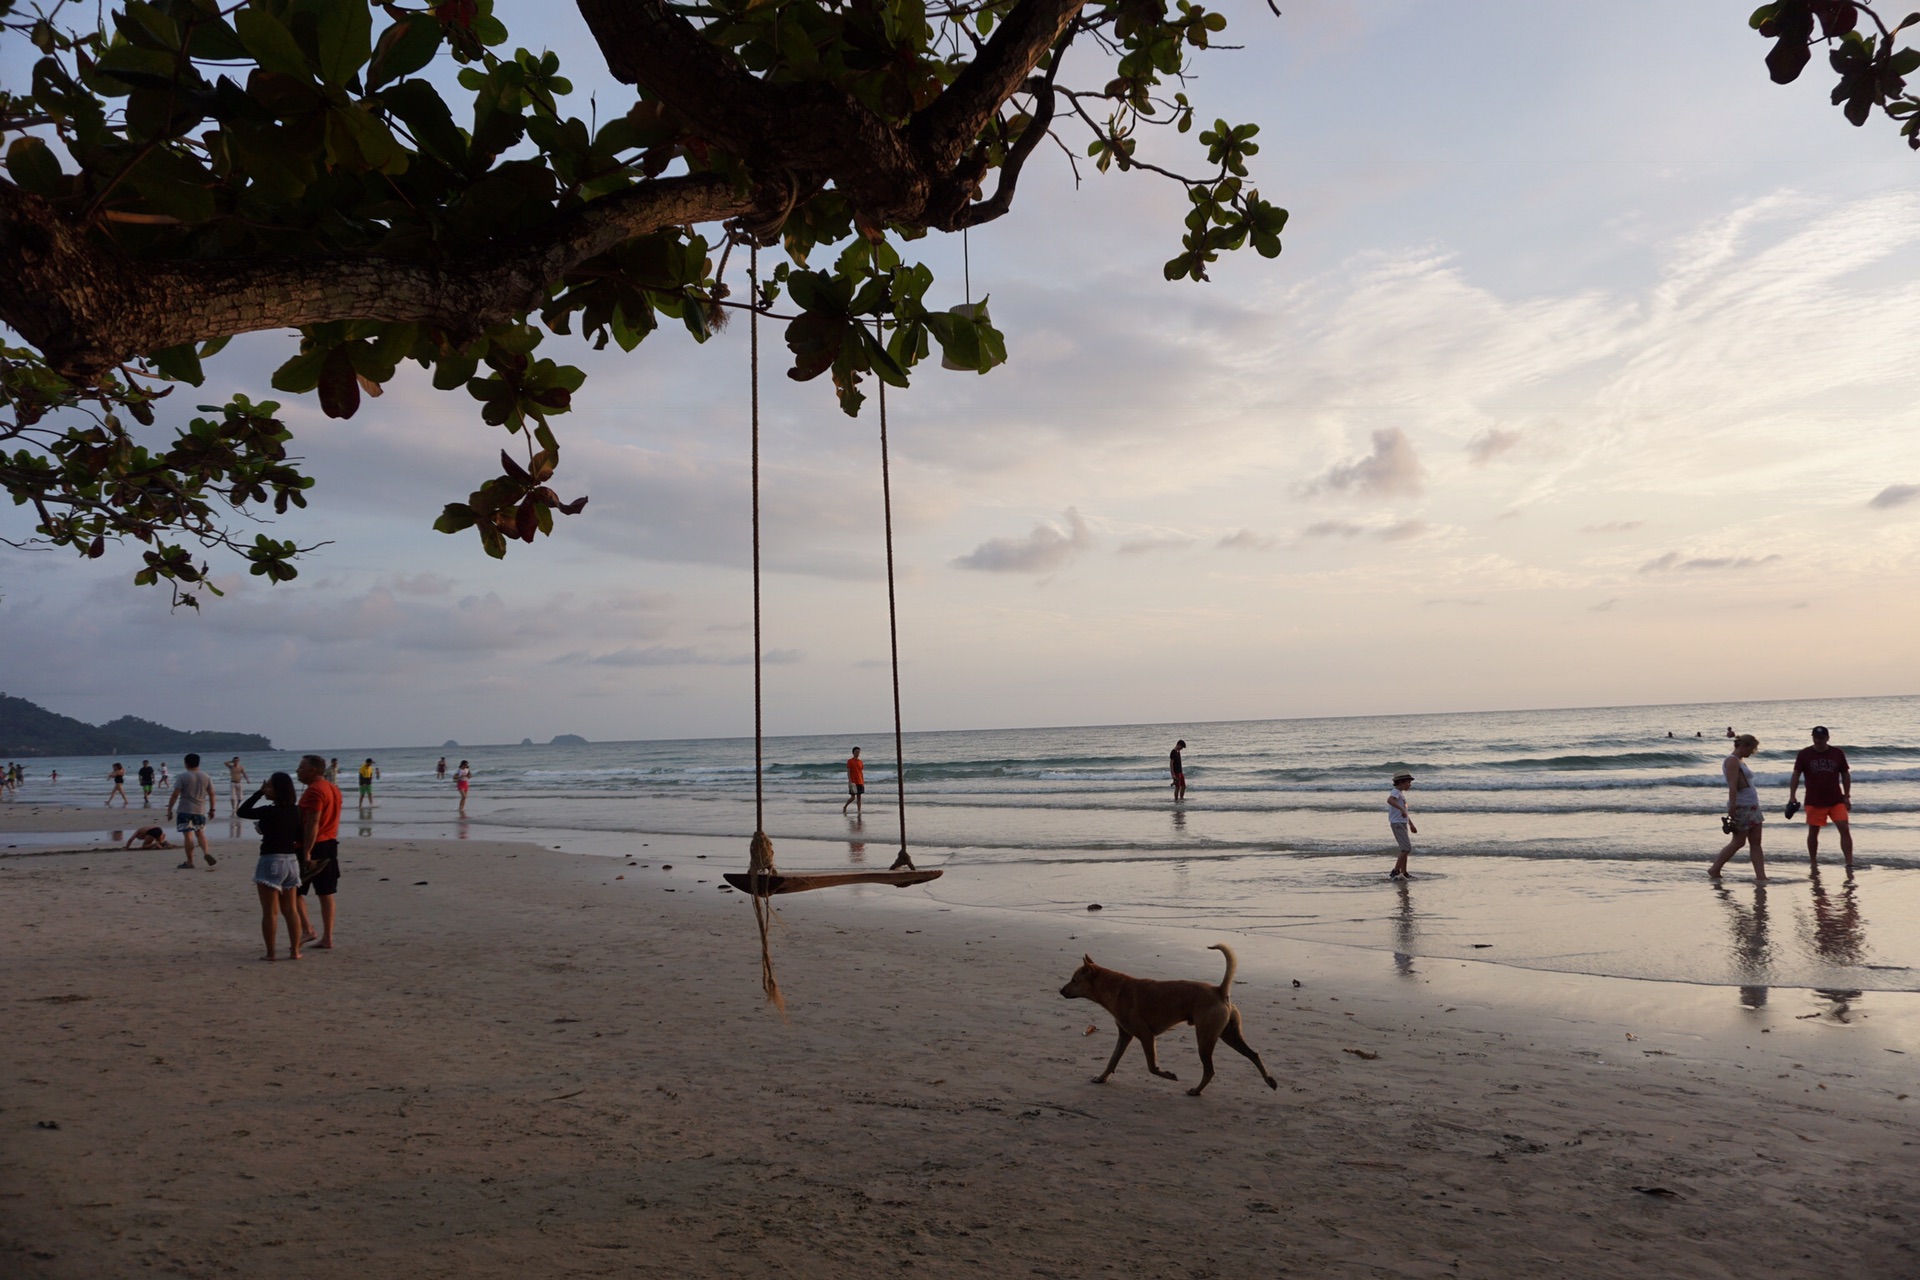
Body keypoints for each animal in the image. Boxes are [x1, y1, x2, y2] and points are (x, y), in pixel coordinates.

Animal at [1067, 948, 1274, 1097]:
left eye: (1074, 980)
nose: (1061, 990)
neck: (1115, 988)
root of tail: (1219, 990)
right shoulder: (1125, 1036)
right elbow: (1112, 1061)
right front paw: (1101, 1078)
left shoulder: (1146, 1036)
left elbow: (1152, 1067)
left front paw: (1168, 1075)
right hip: (1230, 1035)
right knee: (1253, 1054)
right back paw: (1270, 1080)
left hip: (1205, 1039)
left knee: (1210, 1070)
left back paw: (1196, 1091)